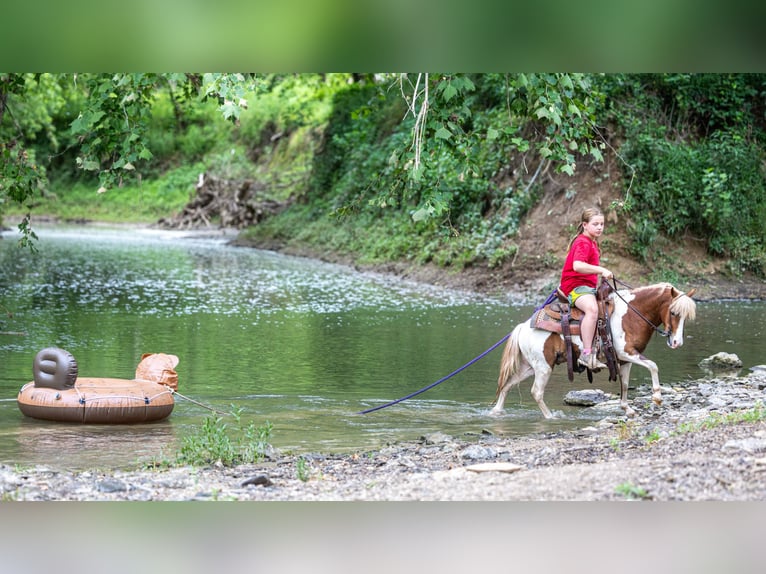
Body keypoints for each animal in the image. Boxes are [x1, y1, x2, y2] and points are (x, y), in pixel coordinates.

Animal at [491, 282, 697, 419]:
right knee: (536, 392)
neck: (631, 314)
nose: (676, 342)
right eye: (673, 312)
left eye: (686, 317)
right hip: (543, 367)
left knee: (508, 384)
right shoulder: (626, 352)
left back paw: (496, 411)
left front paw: (627, 409)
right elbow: (653, 365)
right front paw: (657, 397)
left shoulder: (625, 359)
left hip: (529, 366)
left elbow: (624, 384)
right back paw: (550, 417)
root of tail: (523, 327)